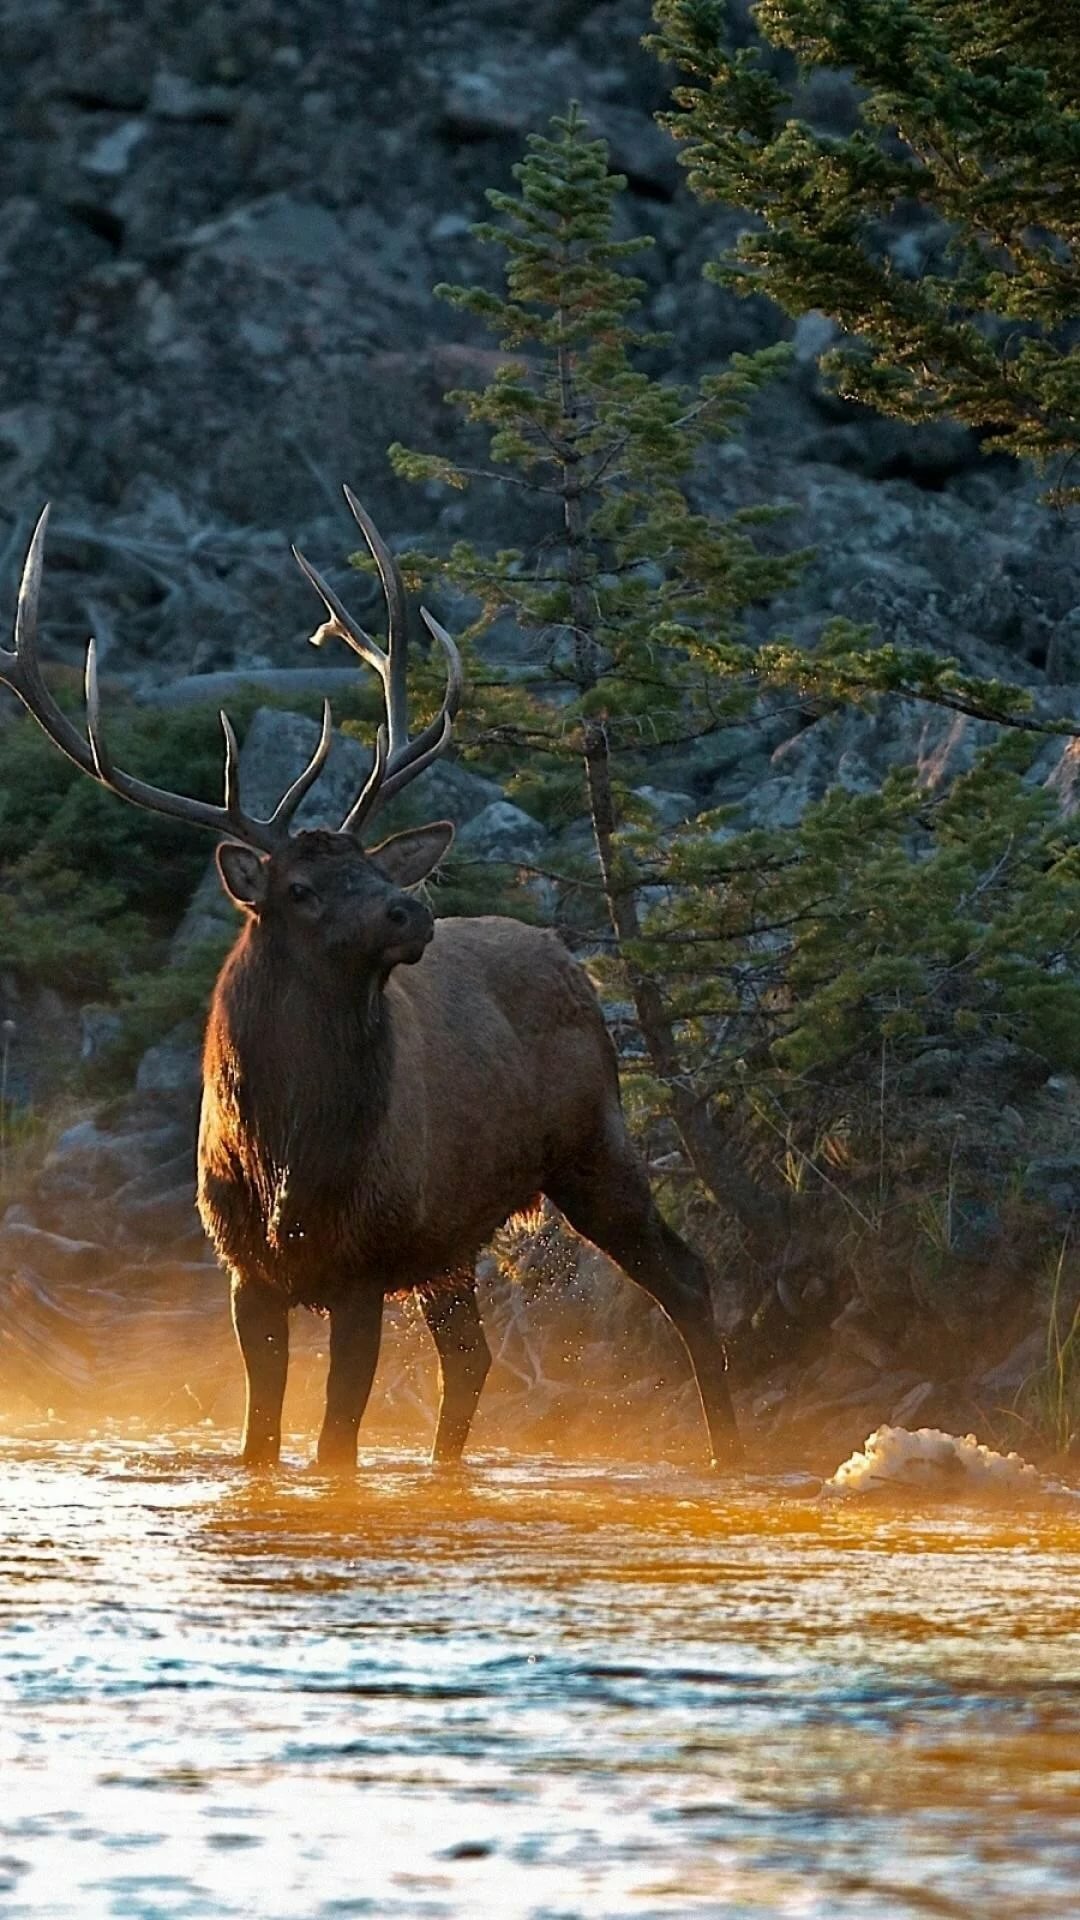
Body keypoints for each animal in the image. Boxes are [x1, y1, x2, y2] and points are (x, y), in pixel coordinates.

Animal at [2, 494, 743, 1473]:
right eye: (302, 888)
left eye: (372, 866)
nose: (409, 908)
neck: (288, 1157)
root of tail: (567, 956)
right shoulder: (245, 1269)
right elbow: (260, 1443)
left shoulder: (362, 1262)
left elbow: (335, 1446)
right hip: (451, 1235)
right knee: (472, 1356)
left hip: (594, 1141)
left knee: (685, 1276)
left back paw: (730, 1452)